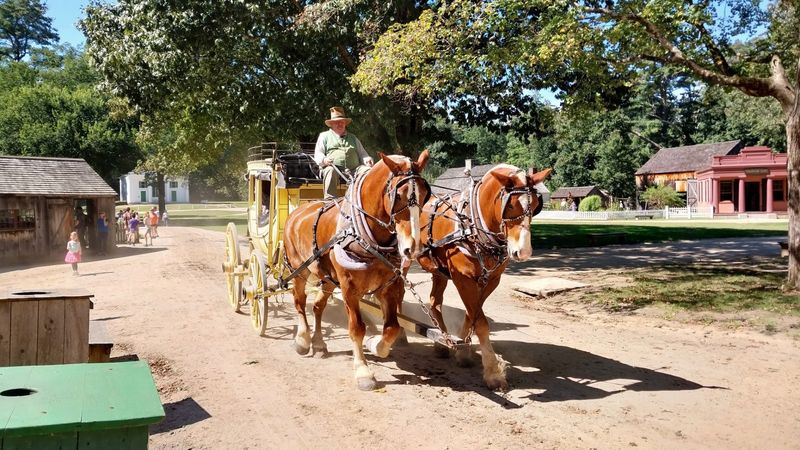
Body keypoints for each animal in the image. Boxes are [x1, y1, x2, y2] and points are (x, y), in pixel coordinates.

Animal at [282, 151, 430, 391]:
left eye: (425, 195)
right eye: (398, 196)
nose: (413, 247)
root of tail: (298, 211)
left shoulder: (389, 286)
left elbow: (392, 327)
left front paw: (375, 344)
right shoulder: (349, 288)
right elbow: (357, 328)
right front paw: (363, 371)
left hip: (327, 279)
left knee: (317, 307)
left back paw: (319, 344)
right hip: (299, 271)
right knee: (299, 302)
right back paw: (303, 340)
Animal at [417, 164, 551, 390]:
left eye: (534, 205)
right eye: (510, 205)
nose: (523, 251)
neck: (471, 224)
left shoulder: (491, 280)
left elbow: (473, 314)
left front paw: (463, 350)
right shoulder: (463, 278)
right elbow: (480, 322)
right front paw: (492, 371)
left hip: (438, 270)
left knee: (435, 302)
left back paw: (441, 342)